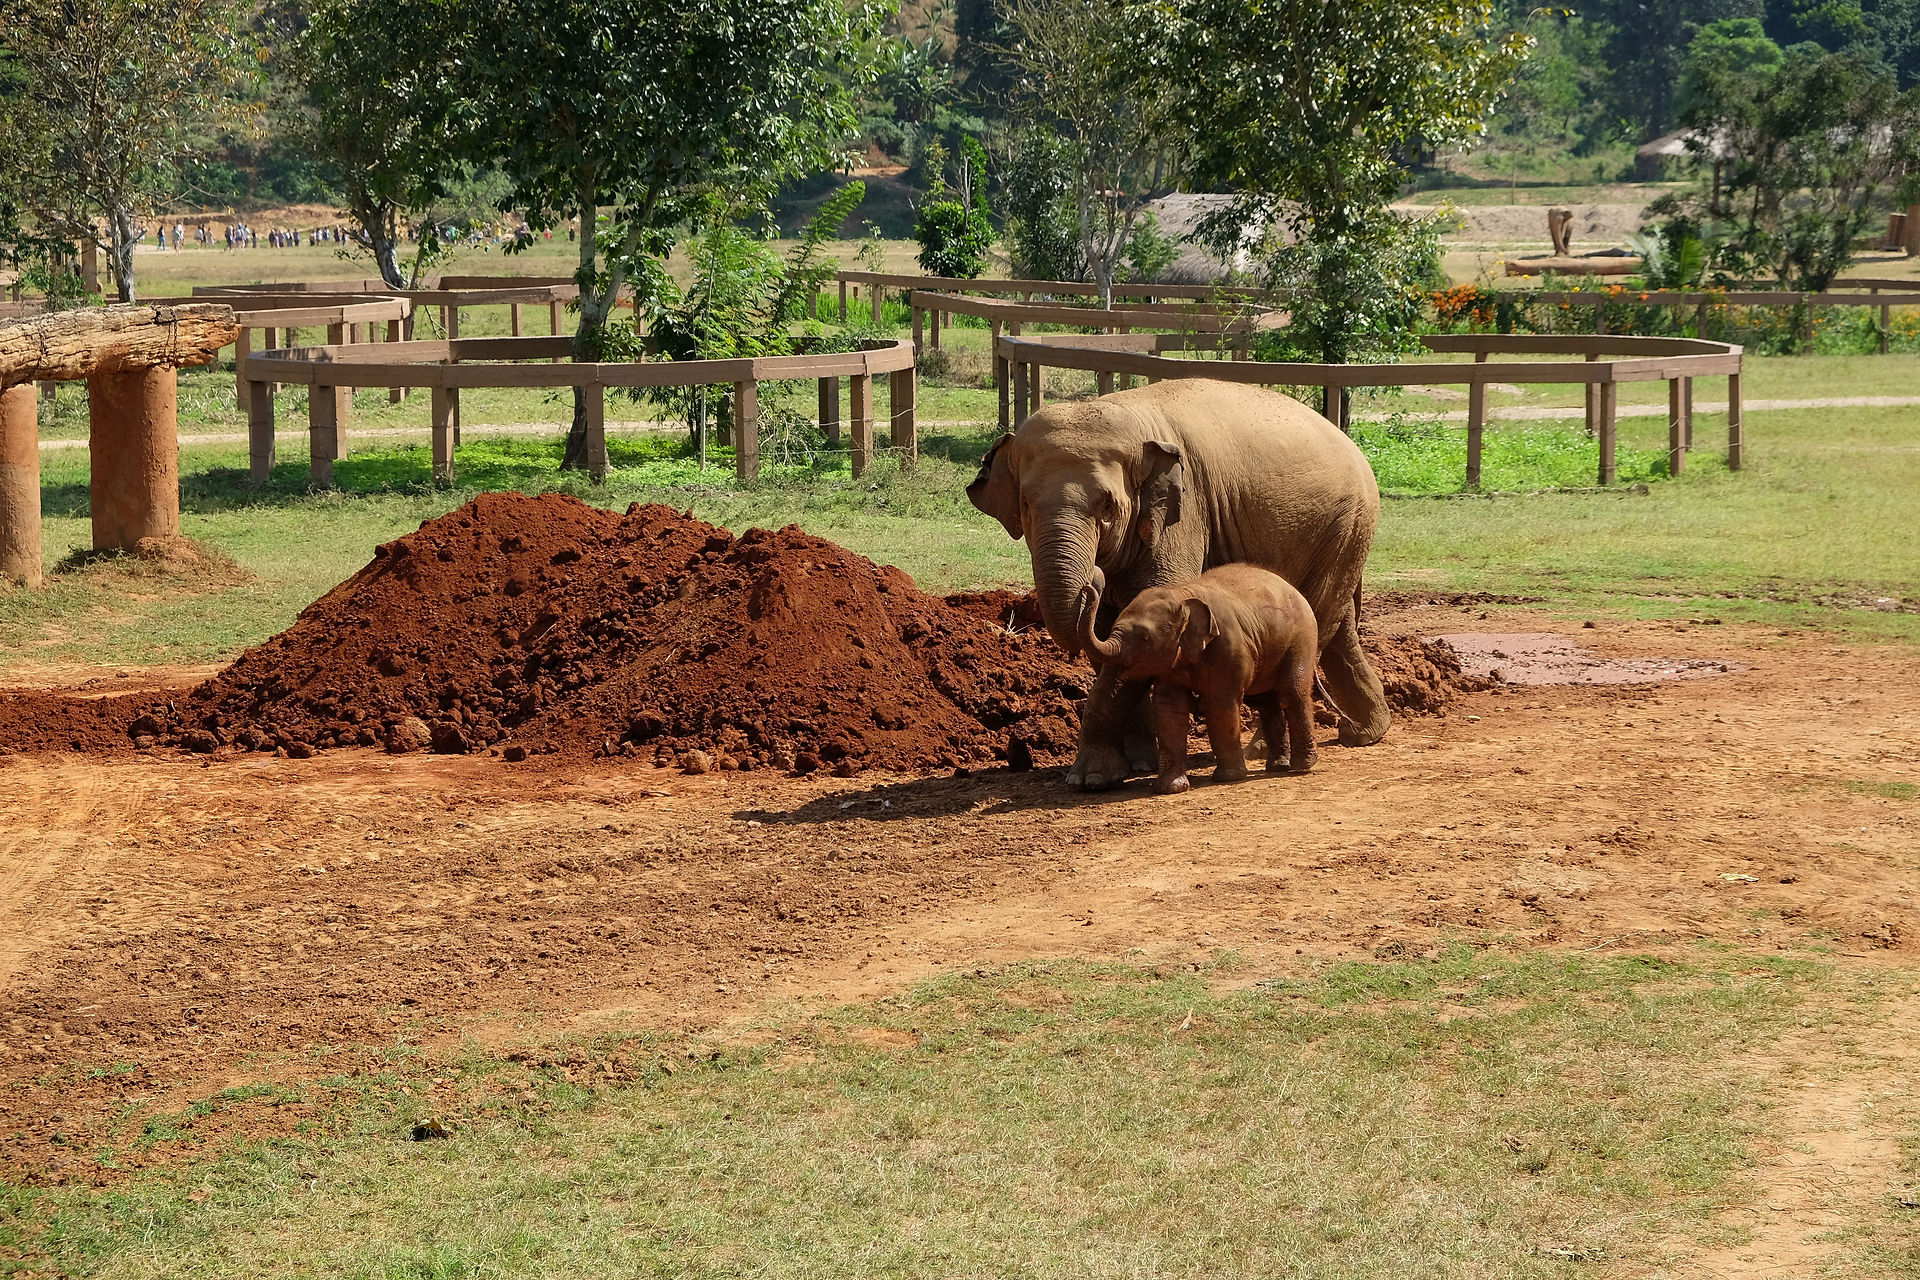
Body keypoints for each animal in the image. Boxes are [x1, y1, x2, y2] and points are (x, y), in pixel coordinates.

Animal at [1076, 563, 1320, 793]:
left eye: (1144, 638)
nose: (1087, 586)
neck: (1181, 595)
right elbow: (1169, 708)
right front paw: (1169, 788)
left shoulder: (1228, 646)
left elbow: (1220, 704)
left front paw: (1228, 778)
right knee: (1266, 702)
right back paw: (1278, 766)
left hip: (1302, 637)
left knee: (1291, 691)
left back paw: (1302, 766)